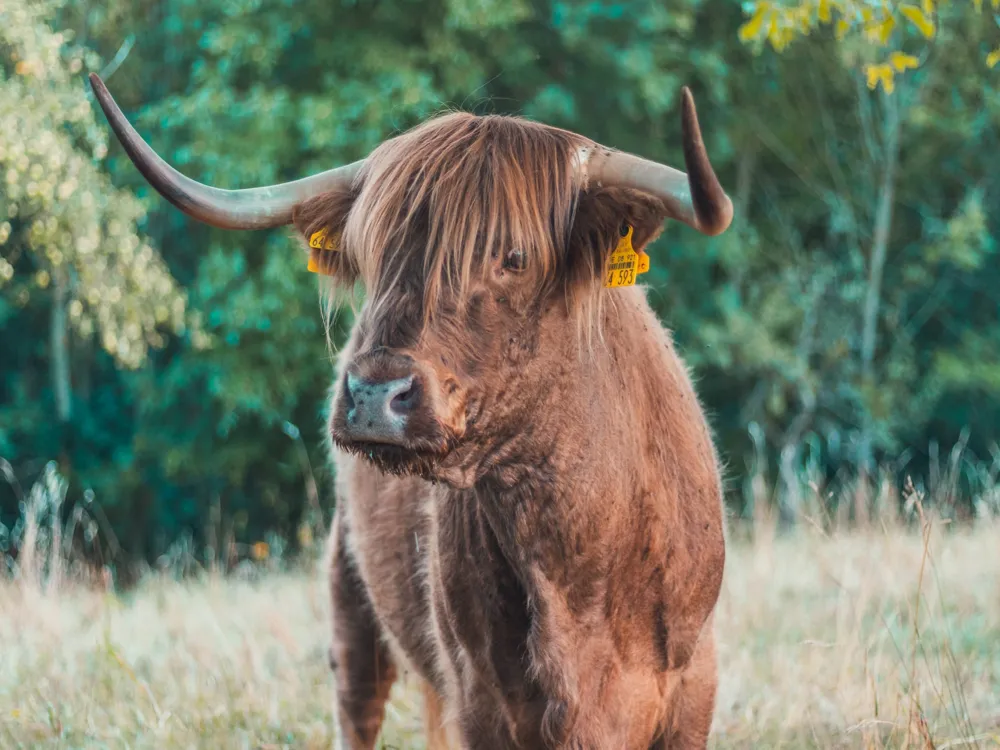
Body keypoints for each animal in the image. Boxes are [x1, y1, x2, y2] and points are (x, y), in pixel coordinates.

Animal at [92, 72, 736, 750]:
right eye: (370, 252)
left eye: (514, 257)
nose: (376, 395)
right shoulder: (481, 698)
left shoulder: (692, 686)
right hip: (349, 592)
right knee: (358, 700)